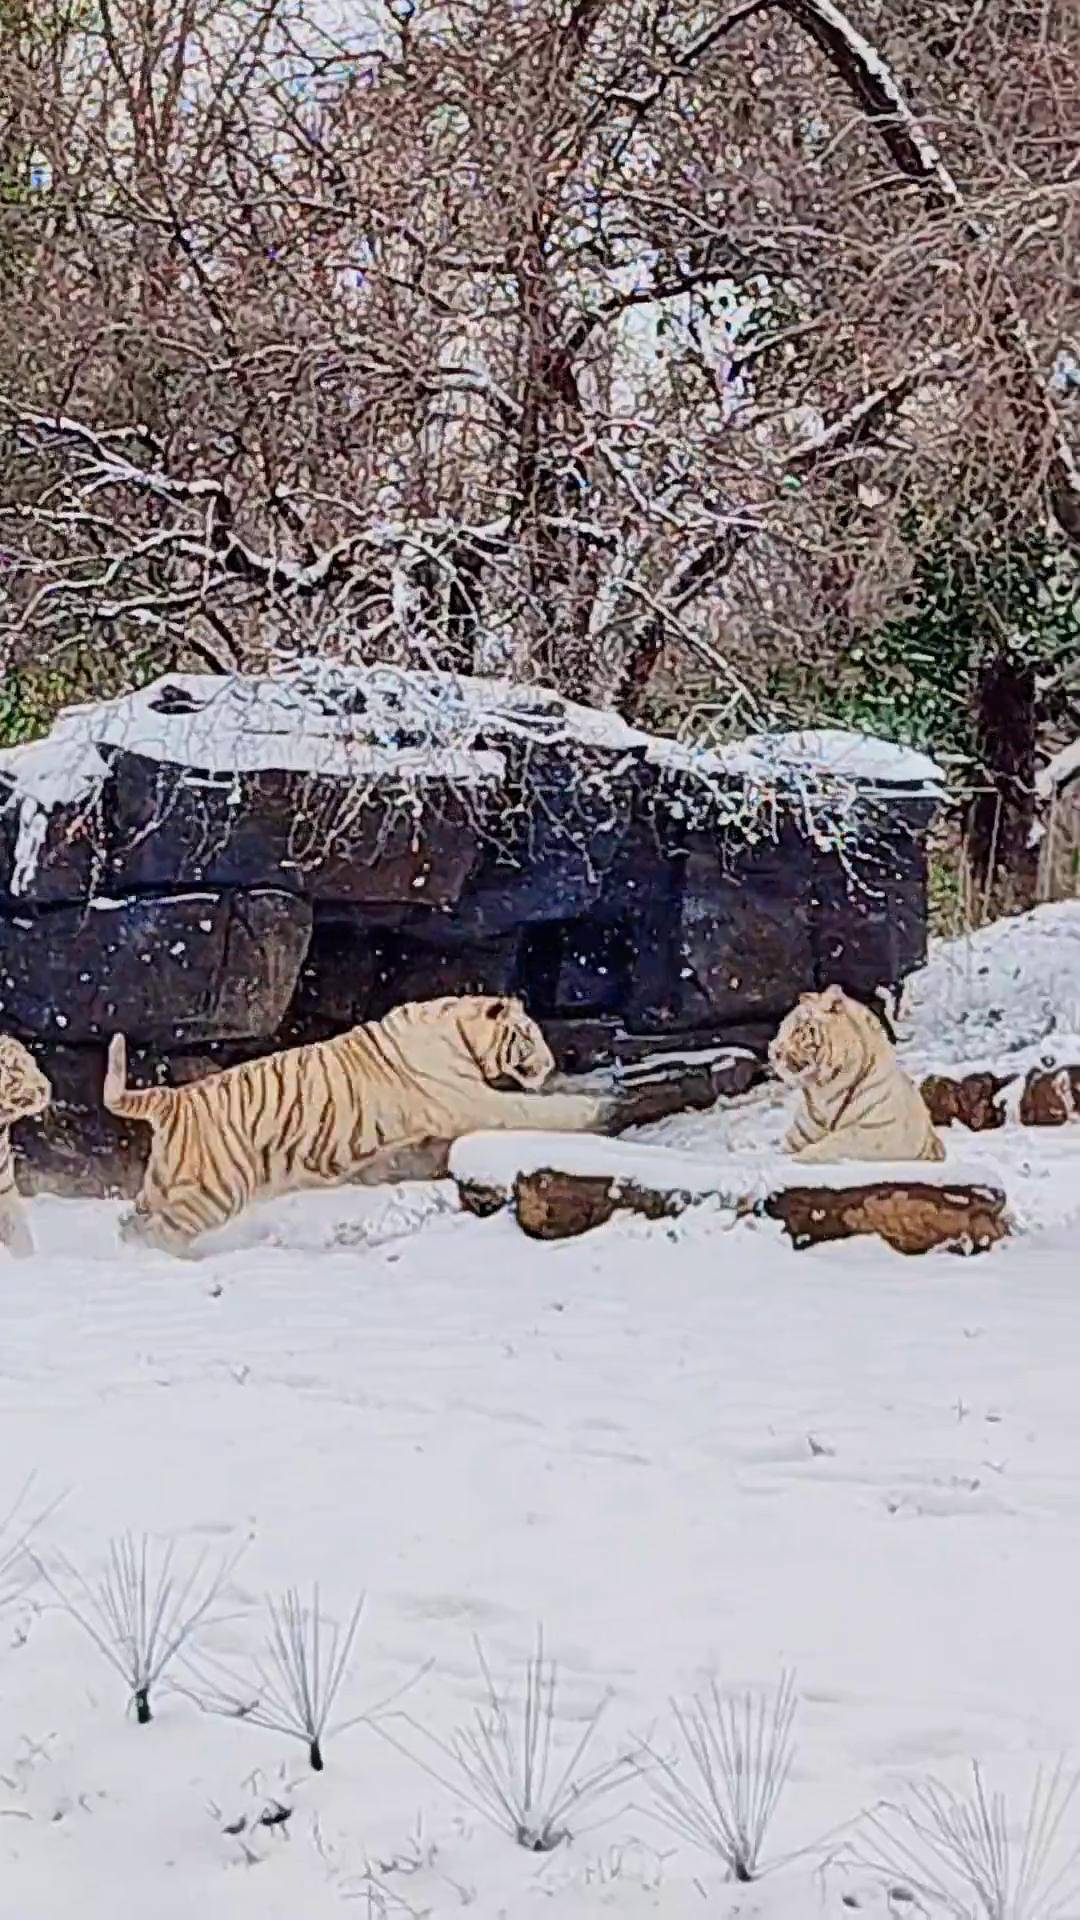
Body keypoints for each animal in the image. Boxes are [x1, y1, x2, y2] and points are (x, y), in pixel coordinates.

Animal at [768, 983, 937, 1159]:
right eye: (783, 1027)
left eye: (797, 1029)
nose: (774, 1052)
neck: (822, 1088)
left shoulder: (881, 1133)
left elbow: (834, 1144)